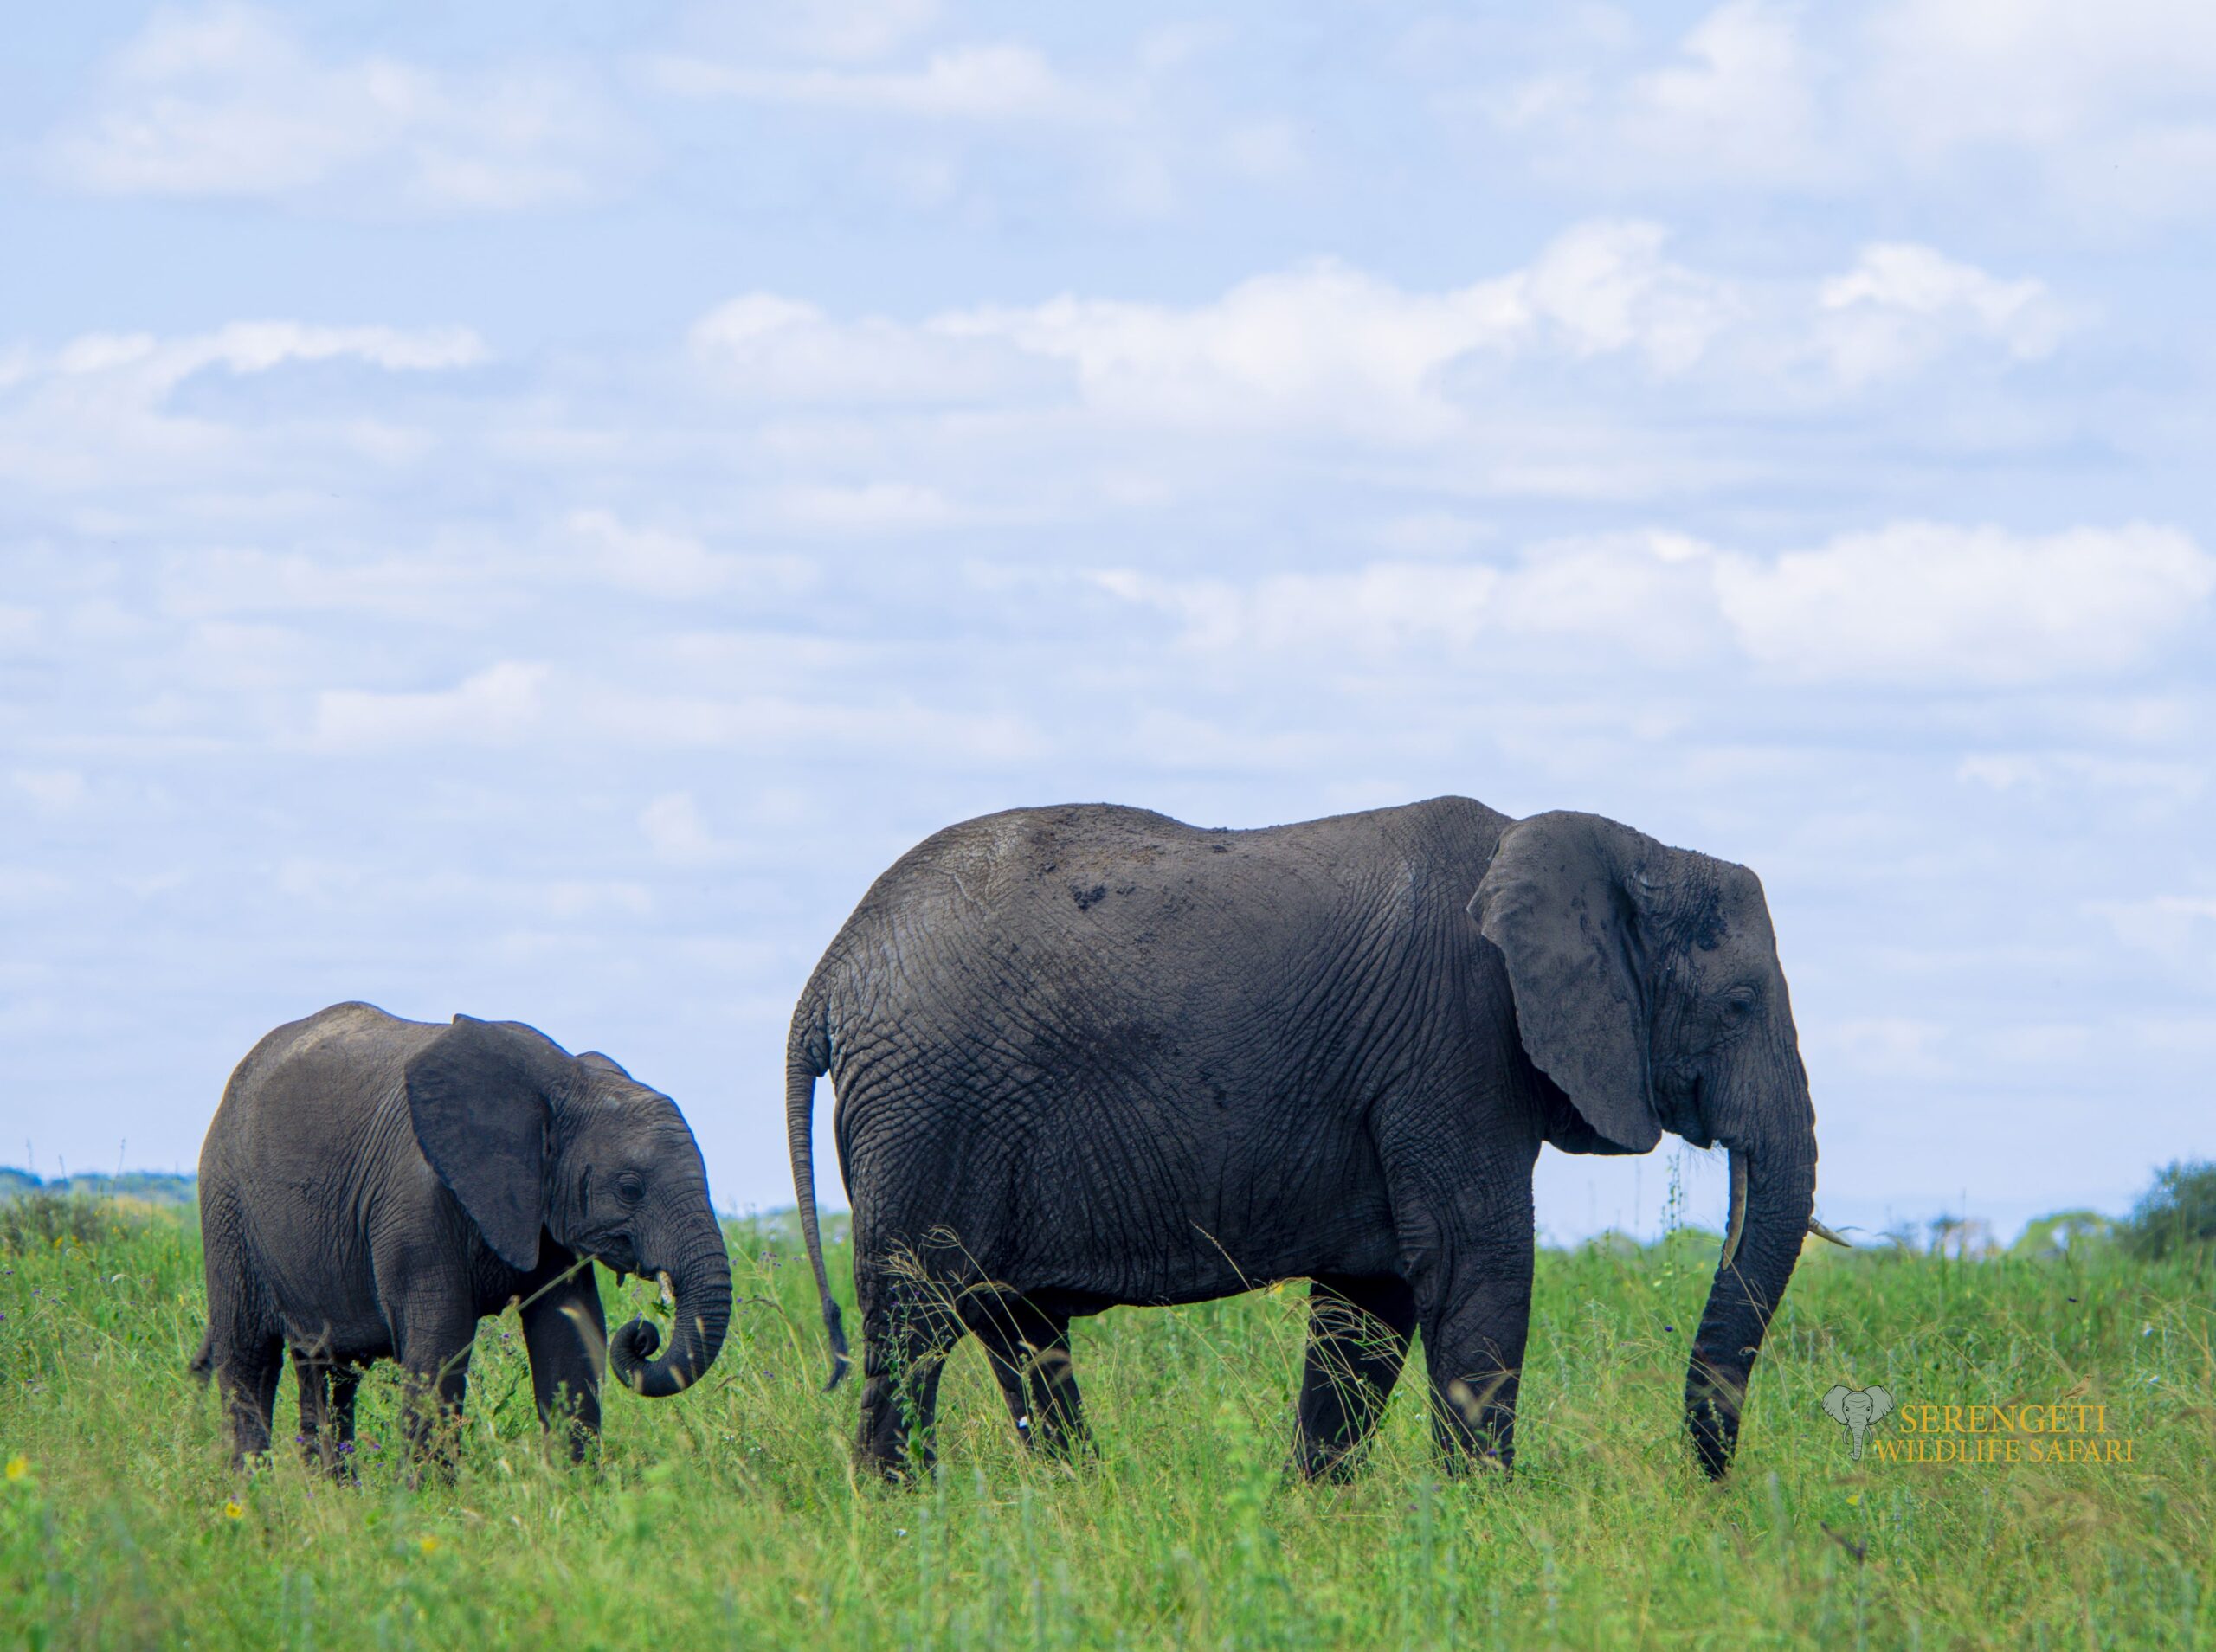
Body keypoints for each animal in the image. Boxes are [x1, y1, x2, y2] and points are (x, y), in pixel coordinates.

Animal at [789, 793, 1843, 1470]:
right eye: (1740, 1002)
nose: (1705, 1484)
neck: (1623, 849)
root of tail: (831, 970)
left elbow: (1369, 1309)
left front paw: (1318, 1519)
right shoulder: (1455, 1042)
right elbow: (1479, 1270)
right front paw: (1485, 1526)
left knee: (1018, 1334)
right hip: (928, 1107)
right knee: (913, 1327)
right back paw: (900, 1517)